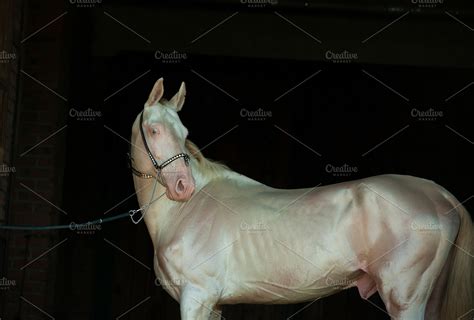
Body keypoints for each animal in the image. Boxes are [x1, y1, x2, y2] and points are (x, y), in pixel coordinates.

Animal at [128, 78, 472, 320]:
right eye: (154, 130)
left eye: (184, 132)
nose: (182, 186)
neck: (186, 212)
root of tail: (437, 194)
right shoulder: (212, 304)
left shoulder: (197, 297)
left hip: (404, 299)